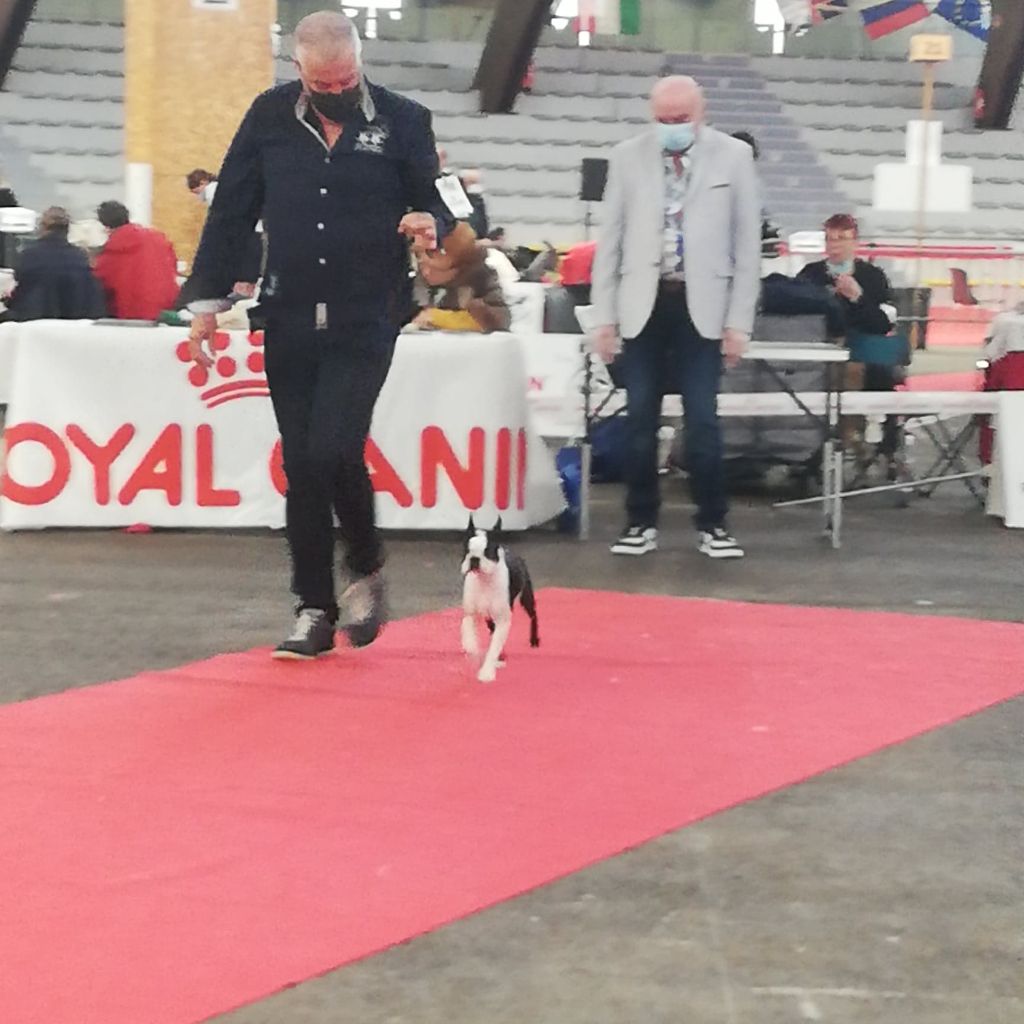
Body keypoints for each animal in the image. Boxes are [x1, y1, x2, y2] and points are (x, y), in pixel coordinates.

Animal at [460, 516, 539, 683]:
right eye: (466, 550)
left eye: (487, 551)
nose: (474, 559)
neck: (484, 580)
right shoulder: (470, 614)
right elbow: (468, 633)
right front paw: (472, 648)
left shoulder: (503, 620)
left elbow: (494, 648)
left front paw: (486, 673)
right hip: (489, 617)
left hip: (526, 598)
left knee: (533, 615)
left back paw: (534, 640)